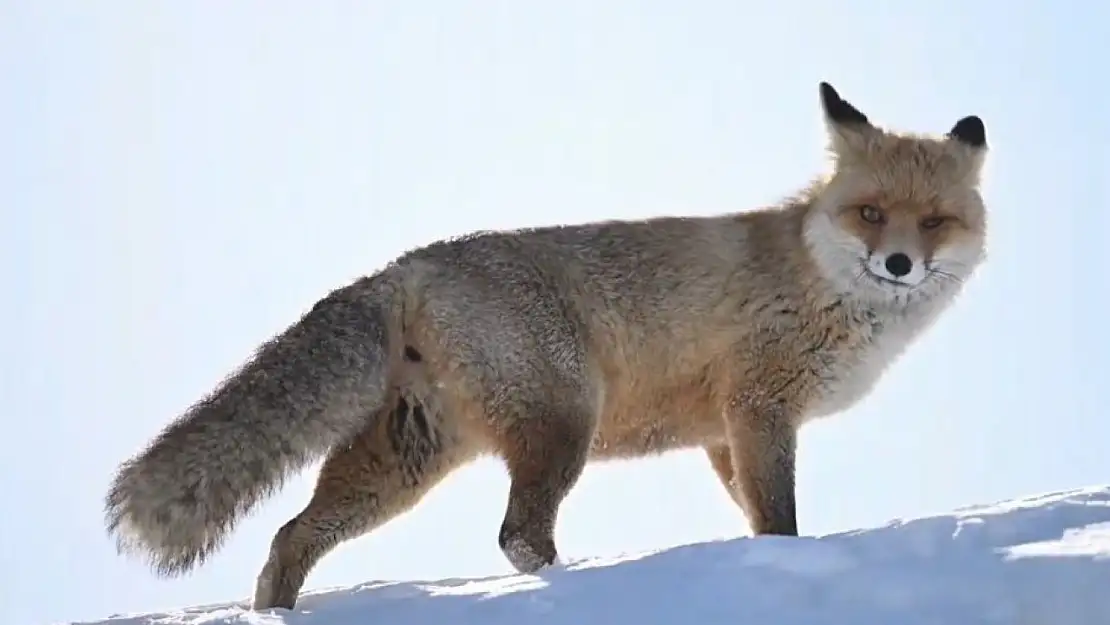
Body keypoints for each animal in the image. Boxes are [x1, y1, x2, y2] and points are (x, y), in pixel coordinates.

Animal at [104, 80, 990, 608]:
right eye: (871, 213)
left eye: (933, 220)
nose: (900, 263)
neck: (815, 279)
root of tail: (406, 266)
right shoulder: (758, 405)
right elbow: (779, 518)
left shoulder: (721, 431)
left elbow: (755, 515)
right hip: (565, 421)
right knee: (517, 535)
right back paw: (587, 584)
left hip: (406, 461)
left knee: (291, 533)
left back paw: (274, 612)